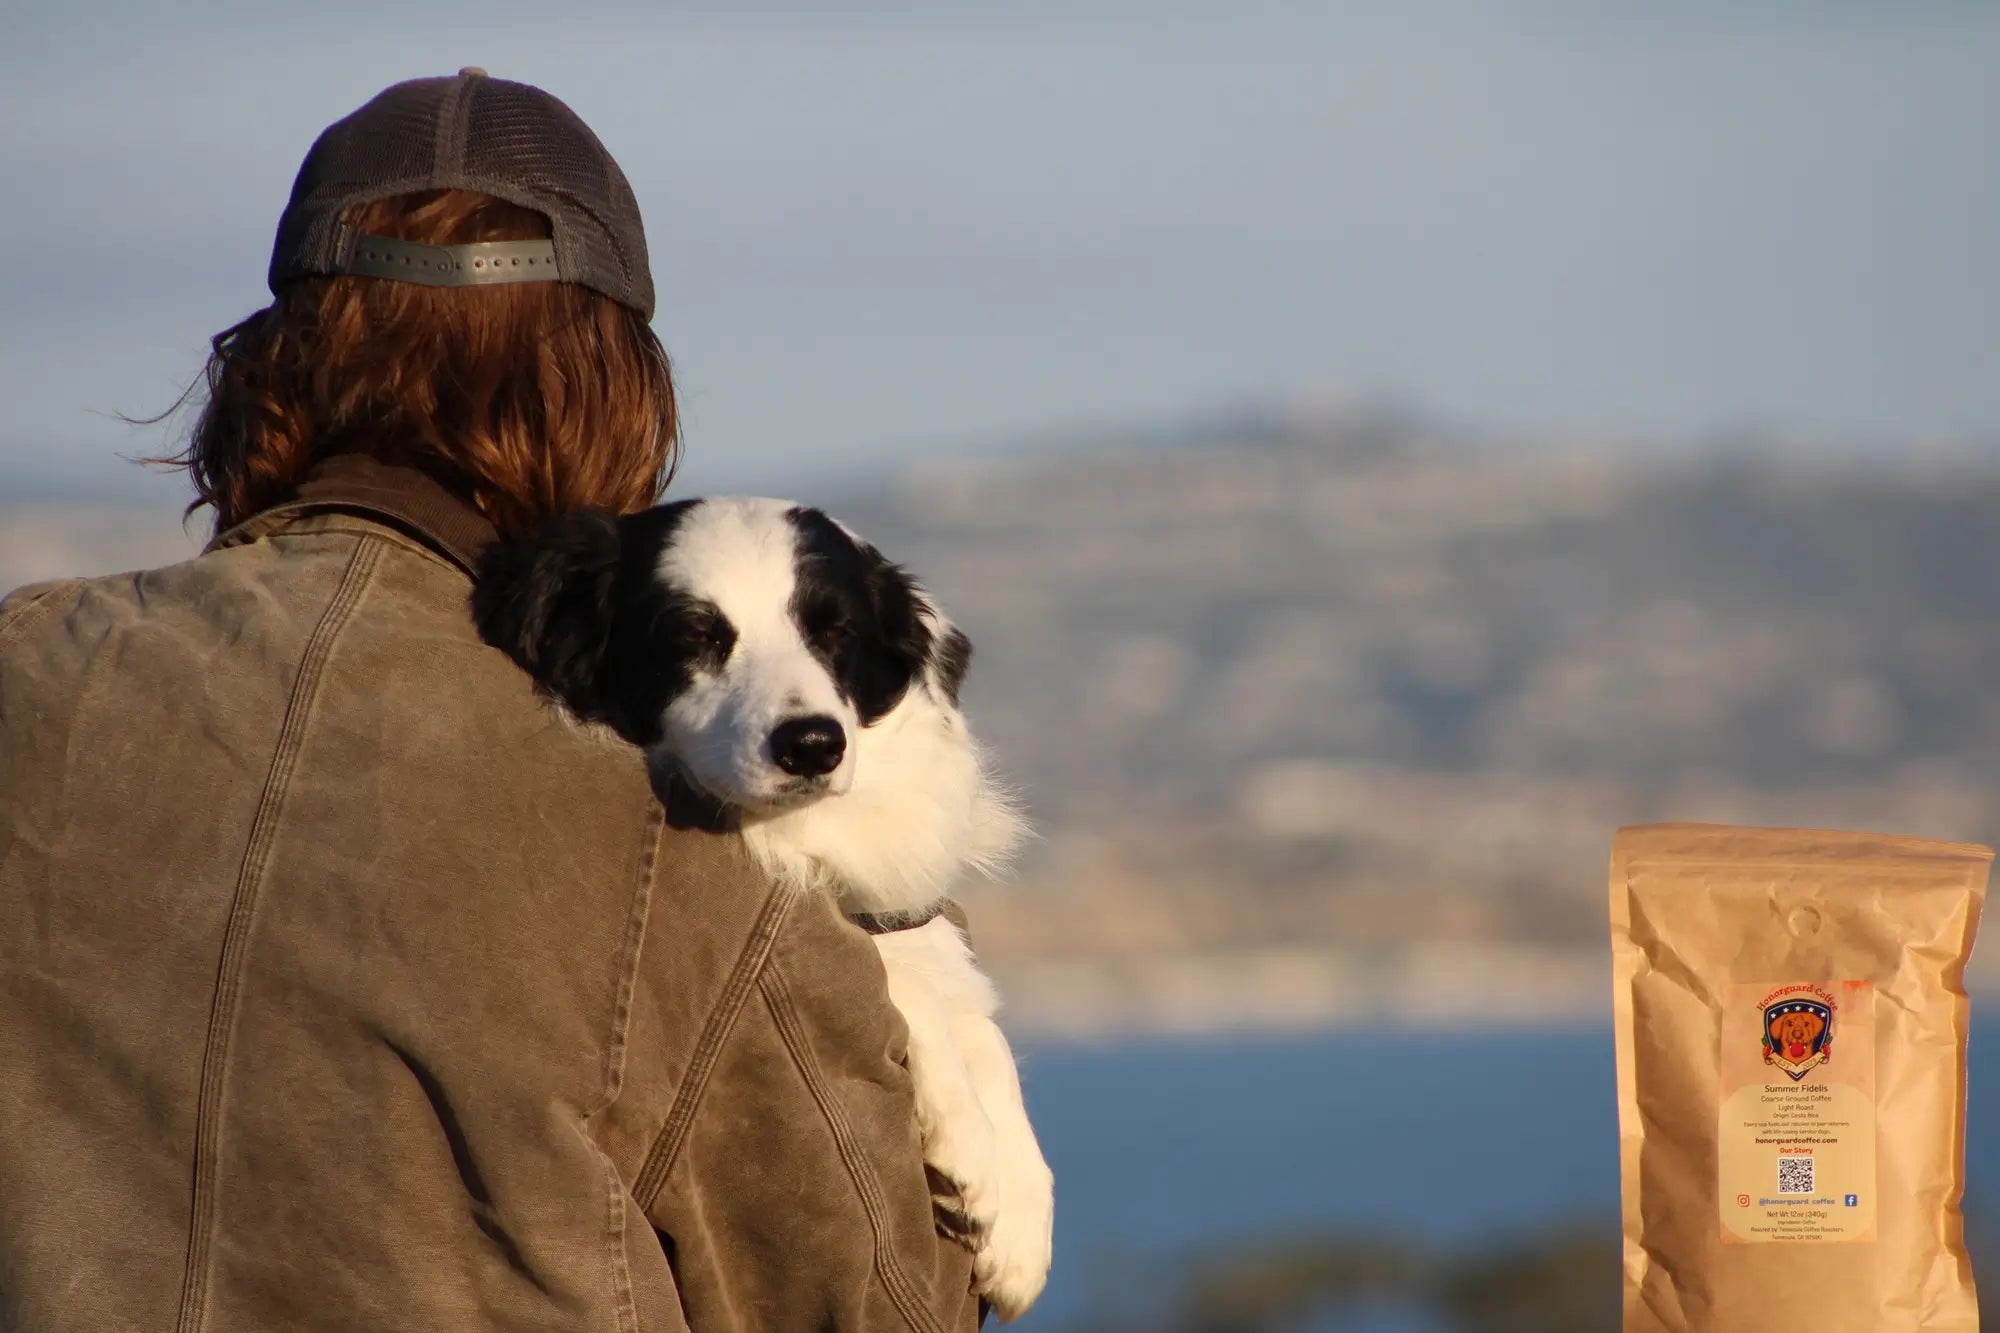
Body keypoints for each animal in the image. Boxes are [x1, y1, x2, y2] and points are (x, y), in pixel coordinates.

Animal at [474, 498, 1056, 1320]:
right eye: (694, 635)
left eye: (834, 632)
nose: (812, 745)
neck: (802, 838)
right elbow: (912, 991)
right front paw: (972, 1149)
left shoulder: (910, 917)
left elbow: (982, 1026)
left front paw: (1023, 1224)